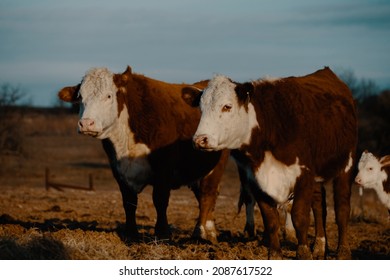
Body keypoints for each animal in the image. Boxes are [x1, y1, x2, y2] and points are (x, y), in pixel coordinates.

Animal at [184, 66, 358, 260]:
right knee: (320, 207)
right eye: (201, 109)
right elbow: (270, 219)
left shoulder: (303, 175)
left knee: (342, 208)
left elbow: (299, 217)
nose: (200, 140)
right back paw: (320, 248)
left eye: (227, 106)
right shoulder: (256, 179)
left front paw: (303, 253)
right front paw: (275, 254)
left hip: (347, 164)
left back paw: (343, 251)